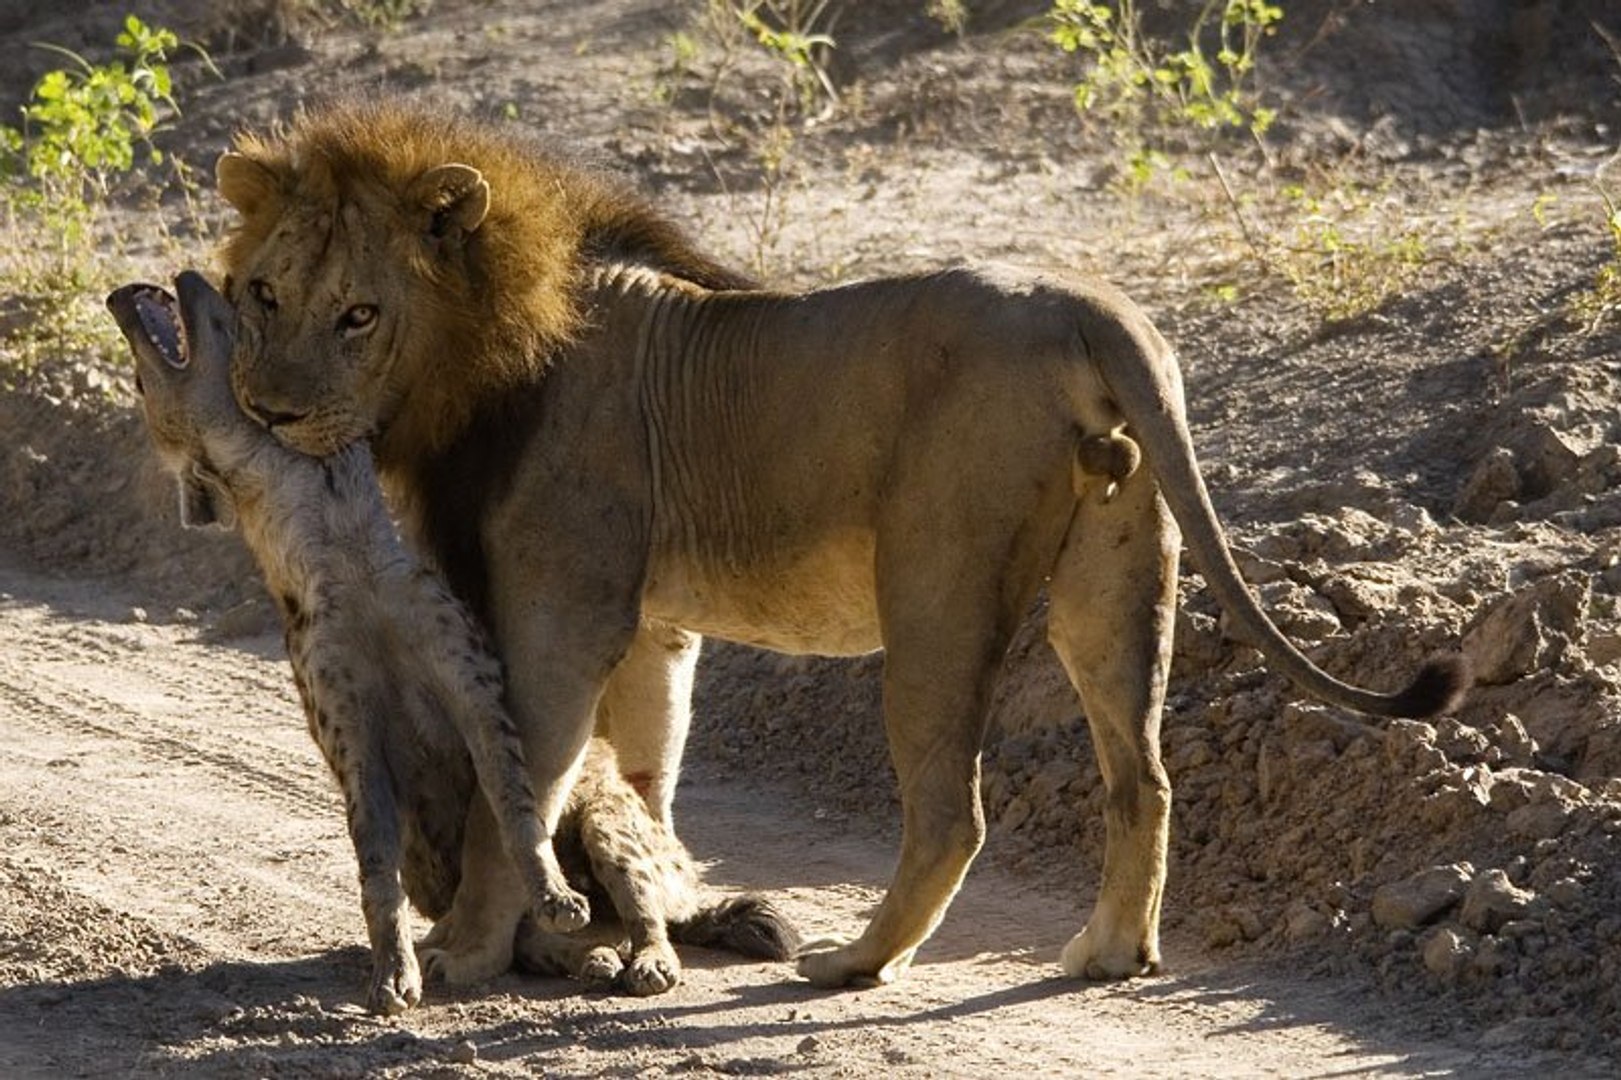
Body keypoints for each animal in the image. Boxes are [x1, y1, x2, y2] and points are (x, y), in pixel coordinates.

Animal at [213, 99, 1467, 990]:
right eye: (263, 293)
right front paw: (656, 916)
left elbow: (510, 787)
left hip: (935, 586)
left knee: (952, 809)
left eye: (358, 314)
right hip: (1114, 575)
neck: (483, 349)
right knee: (1143, 775)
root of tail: (1087, 302)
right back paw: (1107, 953)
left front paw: (472, 953)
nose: (265, 411)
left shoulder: (559, 612)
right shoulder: (654, 628)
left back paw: (856, 963)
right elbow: (646, 773)